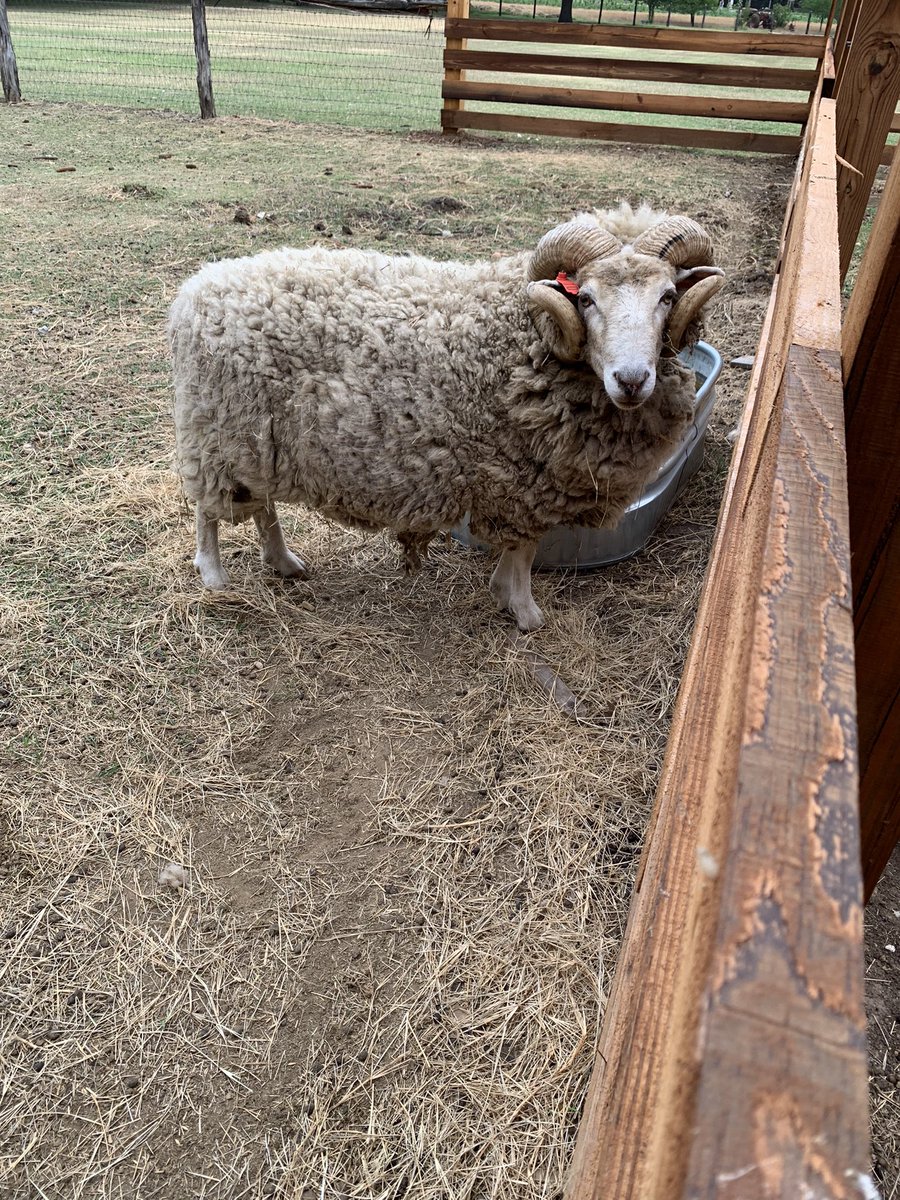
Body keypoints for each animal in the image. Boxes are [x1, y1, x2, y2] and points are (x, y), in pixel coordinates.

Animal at [170, 203, 725, 631]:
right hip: (212, 430)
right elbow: (525, 550)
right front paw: (524, 611)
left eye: (667, 296)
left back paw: (284, 563)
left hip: (258, 439)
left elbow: (521, 550)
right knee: (208, 511)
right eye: (585, 298)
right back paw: (214, 578)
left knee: (261, 504)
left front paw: (506, 594)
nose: (631, 380)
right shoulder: (520, 483)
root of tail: (196, 288)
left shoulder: (528, 482)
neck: (526, 336)